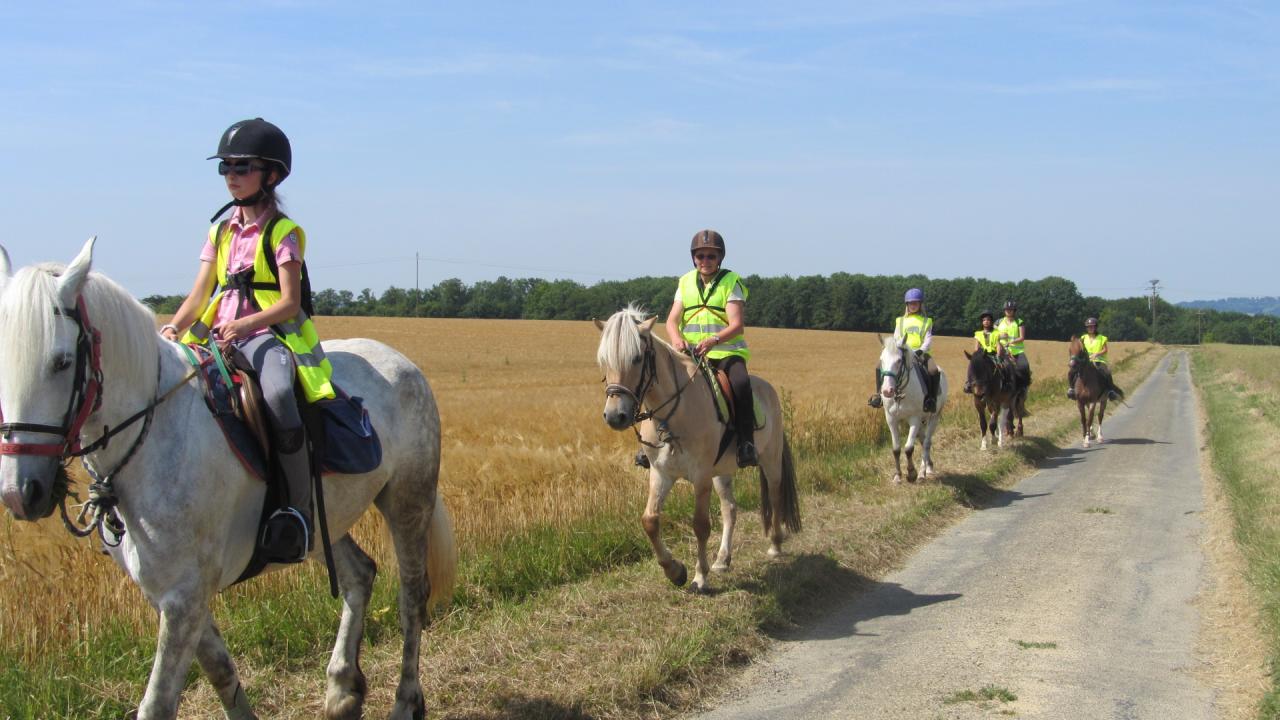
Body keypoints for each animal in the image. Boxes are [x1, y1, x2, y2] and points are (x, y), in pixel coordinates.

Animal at [591, 304, 793, 591]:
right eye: (603, 360)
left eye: (637, 358)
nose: (614, 416)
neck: (673, 415)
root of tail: (769, 389)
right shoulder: (661, 474)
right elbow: (650, 521)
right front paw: (675, 571)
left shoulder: (701, 476)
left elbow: (700, 525)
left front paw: (700, 577)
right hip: (722, 471)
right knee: (730, 509)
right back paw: (722, 560)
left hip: (770, 459)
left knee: (775, 495)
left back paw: (775, 545)